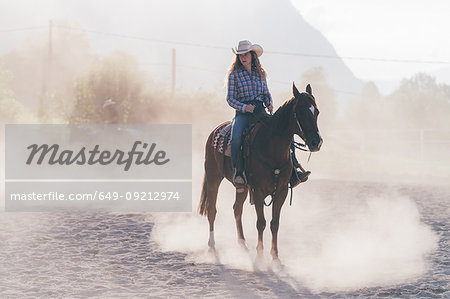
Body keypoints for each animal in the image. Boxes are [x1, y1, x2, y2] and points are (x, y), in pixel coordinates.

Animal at [199, 83, 322, 262]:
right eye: (300, 112)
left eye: (316, 111)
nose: (316, 142)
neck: (271, 147)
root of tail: (215, 131)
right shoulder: (258, 191)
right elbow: (261, 223)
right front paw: (260, 255)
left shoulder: (281, 191)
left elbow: (274, 223)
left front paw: (275, 256)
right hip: (213, 176)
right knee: (212, 210)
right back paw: (211, 245)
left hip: (242, 187)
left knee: (237, 209)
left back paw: (242, 243)